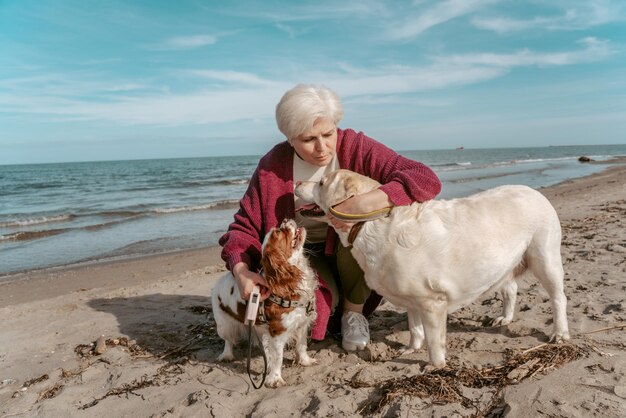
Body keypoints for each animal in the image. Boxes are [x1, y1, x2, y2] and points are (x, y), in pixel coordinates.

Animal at [211, 220, 316, 386]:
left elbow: (301, 345)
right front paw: (275, 379)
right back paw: (227, 355)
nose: (285, 220)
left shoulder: (302, 323)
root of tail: (219, 282)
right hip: (223, 324)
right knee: (228, 340)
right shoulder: (277, 333)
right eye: (279, 232)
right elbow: (278, 358)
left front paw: (305, 361)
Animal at [294, 168, 568, 368]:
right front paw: (411, 348)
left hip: (545, 257)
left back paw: (560, 333)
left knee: (558, 298)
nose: (297, 182)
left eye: (321, 183)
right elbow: (415, 328)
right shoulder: (412, 299)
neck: (368, 223)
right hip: (503, 260)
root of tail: (534, 192)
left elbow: (435, 341)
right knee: (509, 287)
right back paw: (505, 317)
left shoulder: (432, 301)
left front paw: (434, 365)